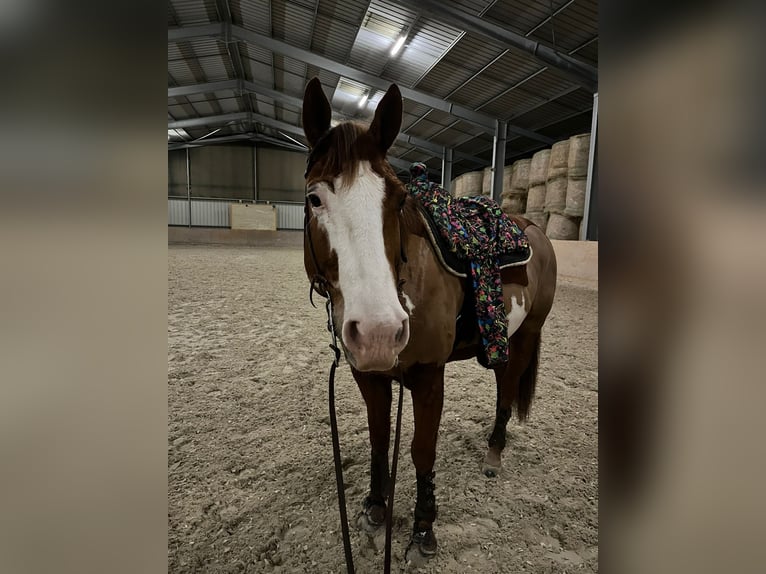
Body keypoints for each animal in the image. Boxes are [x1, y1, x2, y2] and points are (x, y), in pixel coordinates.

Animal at [301, 77, 557, 565]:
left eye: (398, 199)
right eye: (314, 198)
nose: (380, 332)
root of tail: (534, 228)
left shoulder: (428, 375)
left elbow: (422, 451)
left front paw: (423, 530)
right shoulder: (369, 375)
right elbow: (380, 439)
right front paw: (375, 507)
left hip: (525, 334)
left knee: (507, 388)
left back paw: (494, 453)